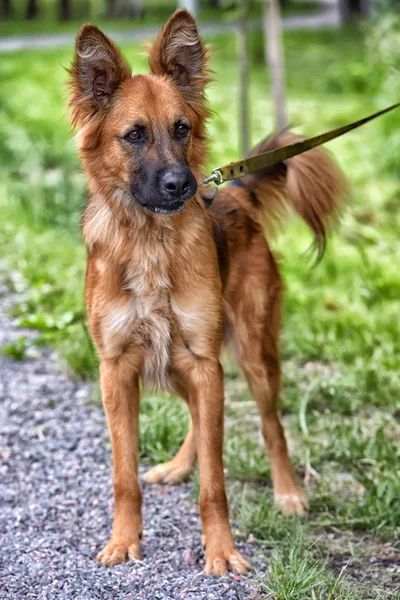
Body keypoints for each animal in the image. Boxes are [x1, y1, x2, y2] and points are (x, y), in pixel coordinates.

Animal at [67, 9, 346, 576]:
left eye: (182, 128)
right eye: (133, 135)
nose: (183, 185)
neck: (150, 240)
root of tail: (234, 191)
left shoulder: (201, 360)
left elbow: (215, 483)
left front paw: (222, 550)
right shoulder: (118, 368)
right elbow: (124, 475)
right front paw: (123, 540)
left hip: (252, 352)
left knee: (270, 425)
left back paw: (288, 493)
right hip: (182, 361)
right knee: (200, 421)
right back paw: (178, 466)